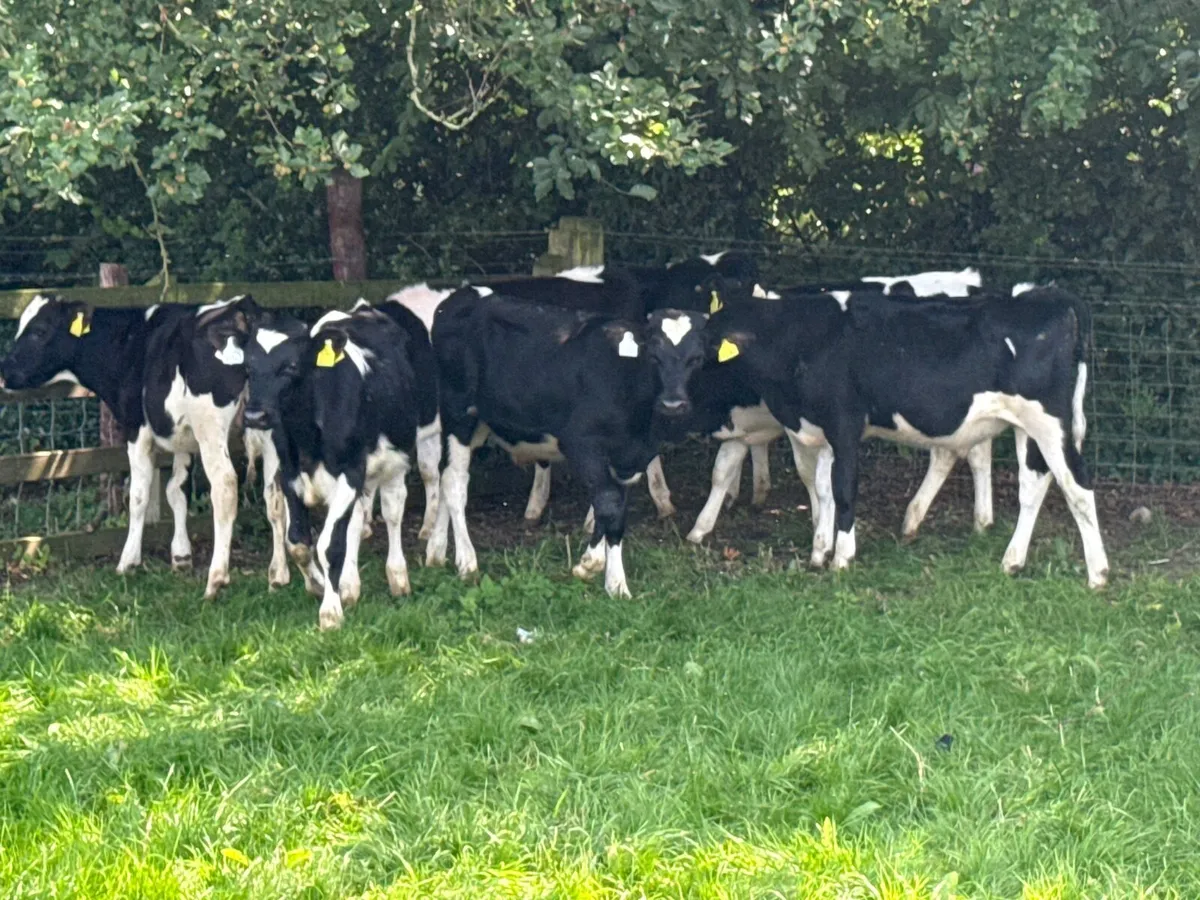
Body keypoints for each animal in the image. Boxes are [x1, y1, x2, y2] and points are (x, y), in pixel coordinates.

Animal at [0, 293, 277, 599]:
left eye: (39, 331)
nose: (5, 371)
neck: (130, 342)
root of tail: (241, 310)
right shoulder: (181, 434)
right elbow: (176, 490)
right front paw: (181, 555)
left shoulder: (137, 428)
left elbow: (138, 496)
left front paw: (128, 561)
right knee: (275, 492)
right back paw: (279, 576)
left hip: (211, 429)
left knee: (226, 487)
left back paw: (216, 579)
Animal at [241, 303, 438, 630]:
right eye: (248, 368)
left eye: (291, 366)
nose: (255, 416)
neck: (309, 437)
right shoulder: (290, 474)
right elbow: (298, 543)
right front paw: (320, 585)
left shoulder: (351, 472)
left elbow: (330, 545)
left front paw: (330, 613)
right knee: (356, 521)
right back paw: (349, 585)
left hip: (395, 463)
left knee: (393, 512)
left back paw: (398, 578)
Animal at [425, 289, 708, 597]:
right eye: (654, 356)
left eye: (697, 358)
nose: (673, 404)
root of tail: (462, 295)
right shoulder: (582, 444)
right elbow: (608, 503)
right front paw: (598, 570)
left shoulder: (630, 458)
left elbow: (616, 511)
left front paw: (608, 578)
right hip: (458, 414)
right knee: (455, 482)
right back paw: (466, 562)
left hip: (480, 423)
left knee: (446, 476)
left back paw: (435, 553)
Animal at [704, 285, 1108, 588]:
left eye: (705, 344)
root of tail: (1048, 295)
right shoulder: (822, 432)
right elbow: (822, 489)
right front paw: (819, 551)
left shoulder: (845, 425)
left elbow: (843, 491)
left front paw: (842, 557)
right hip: (1027, 427)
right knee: (1034, 484)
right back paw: (1012, 561)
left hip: (1049, 421)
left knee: (1078, 486)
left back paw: (1098, 574)